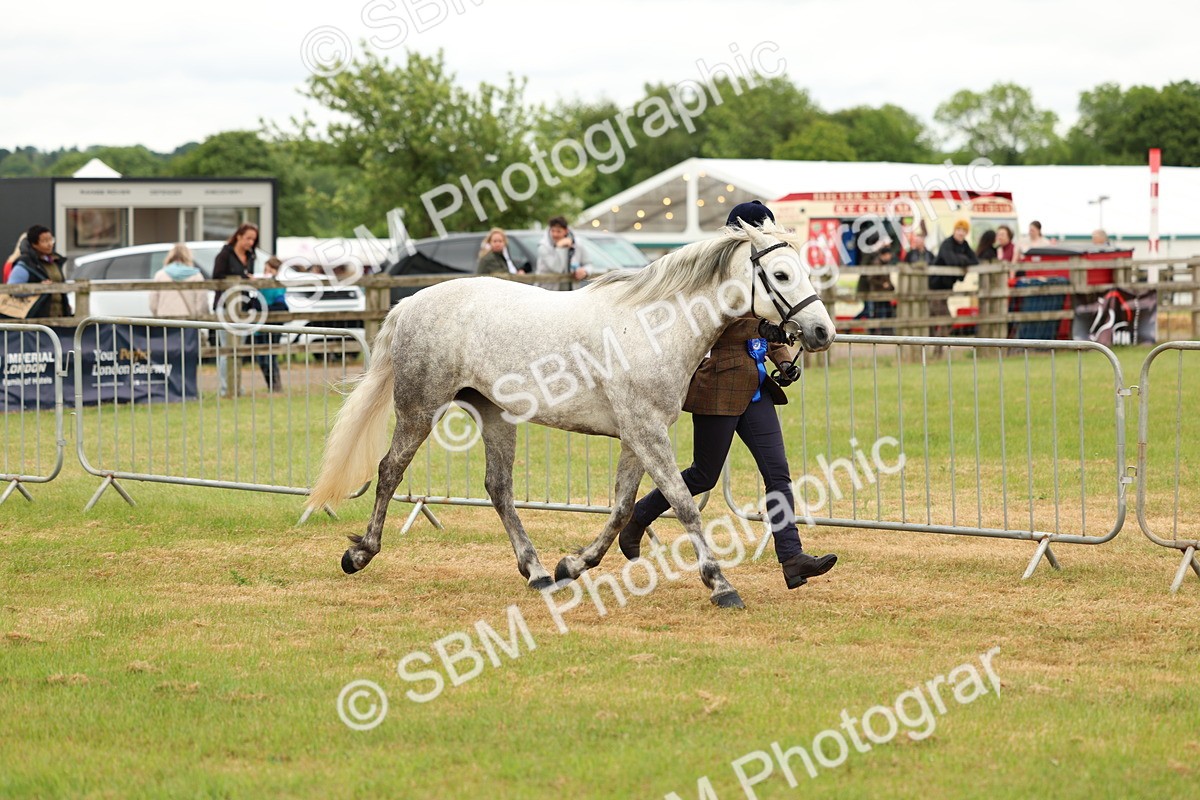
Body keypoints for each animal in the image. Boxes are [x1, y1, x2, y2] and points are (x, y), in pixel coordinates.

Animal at [306, 220, 835, 608]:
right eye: (782, 276)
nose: (822, 332)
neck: (653, 326)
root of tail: (412, 302)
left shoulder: (637, 435)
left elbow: (622, 507)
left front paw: (574, 565)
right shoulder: (646, 432)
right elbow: (684, 503)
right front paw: (722, 586)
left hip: (494, 414)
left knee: (499, 489)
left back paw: (539, 572)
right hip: (420, 407)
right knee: (390, 470)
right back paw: (360, 554)